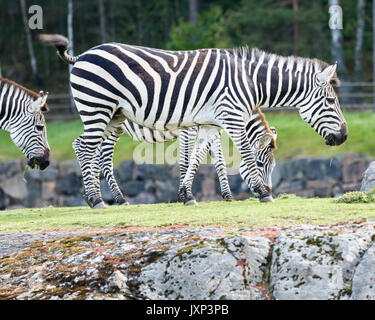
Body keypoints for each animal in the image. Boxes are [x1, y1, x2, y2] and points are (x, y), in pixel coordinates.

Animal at [89, 107, 278, 205]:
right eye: (259, 164)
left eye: (273, 167)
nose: (269, 191)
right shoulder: (189, 129)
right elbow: (187, 161)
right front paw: (184, 196)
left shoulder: (212, 129)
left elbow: (219, 162)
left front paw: (228, 196)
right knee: (103, 159)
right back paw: (118, 198)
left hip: (113, 126)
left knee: (94, 157)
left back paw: (96, 198)